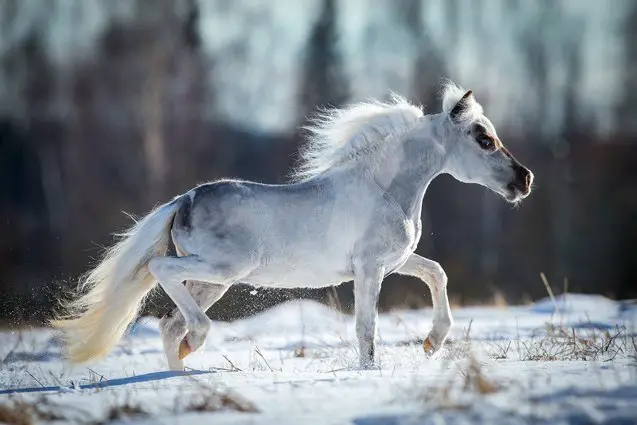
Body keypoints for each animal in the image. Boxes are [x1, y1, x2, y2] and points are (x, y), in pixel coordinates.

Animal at [53, 79, 532, 368]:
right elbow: (367, 327)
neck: (385, 188)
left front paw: (433, 342)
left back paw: (180, 372)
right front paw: (371, 371)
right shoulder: (369, 269)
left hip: (212, 281)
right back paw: (197, 341)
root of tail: (184, 200)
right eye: (484, 139)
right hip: (221, 269)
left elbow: (437, 273)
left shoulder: (395, 262)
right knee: (160, 274)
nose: (524, 179)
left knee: (170, 325)